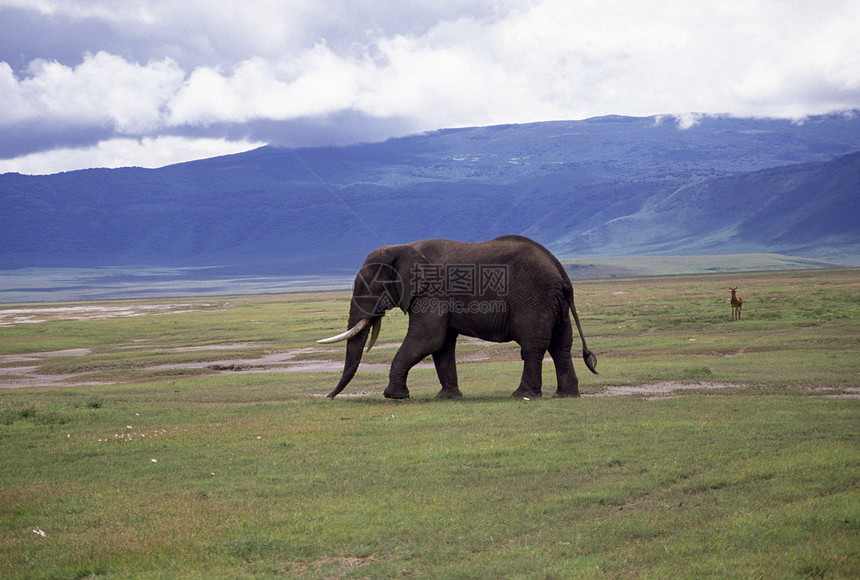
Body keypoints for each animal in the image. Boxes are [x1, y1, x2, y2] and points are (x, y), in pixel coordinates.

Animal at [318, 236, 596, 398]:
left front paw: (394, 396)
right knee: (561, 346)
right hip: (555, 303)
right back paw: (566, 395)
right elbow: (441, 345)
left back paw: (522, 395)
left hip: (535, 299)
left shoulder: (432, 291)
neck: (403, 248)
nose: (329, 397)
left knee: (533, 346)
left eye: (369, 287)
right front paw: (448, 397)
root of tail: (562, 272)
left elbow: (427, 338)